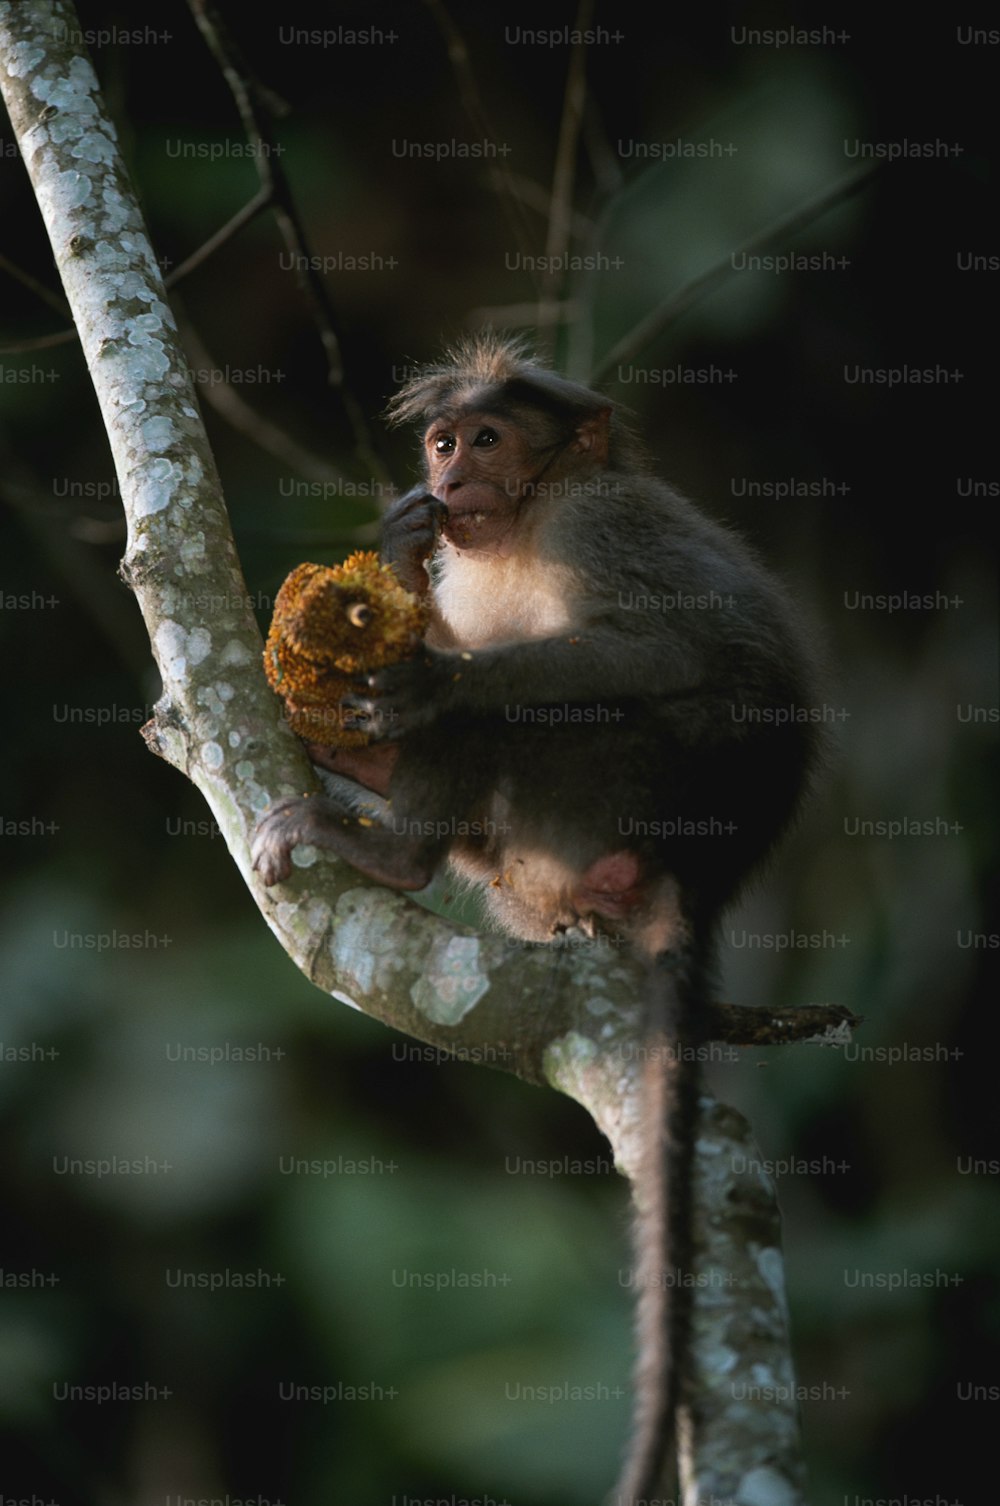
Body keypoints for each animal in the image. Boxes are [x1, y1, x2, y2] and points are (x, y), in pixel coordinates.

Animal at [250, 332, 819, 1506]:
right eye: (441, 442)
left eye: (490, 437)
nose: (453, 473)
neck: (522, 521)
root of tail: (702, 873)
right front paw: (398, 552)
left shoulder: (603, 524)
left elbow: (664, 649)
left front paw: (431, 686)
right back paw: (362, 767)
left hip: (623, 782)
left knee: (538, 710)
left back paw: (395, 837)